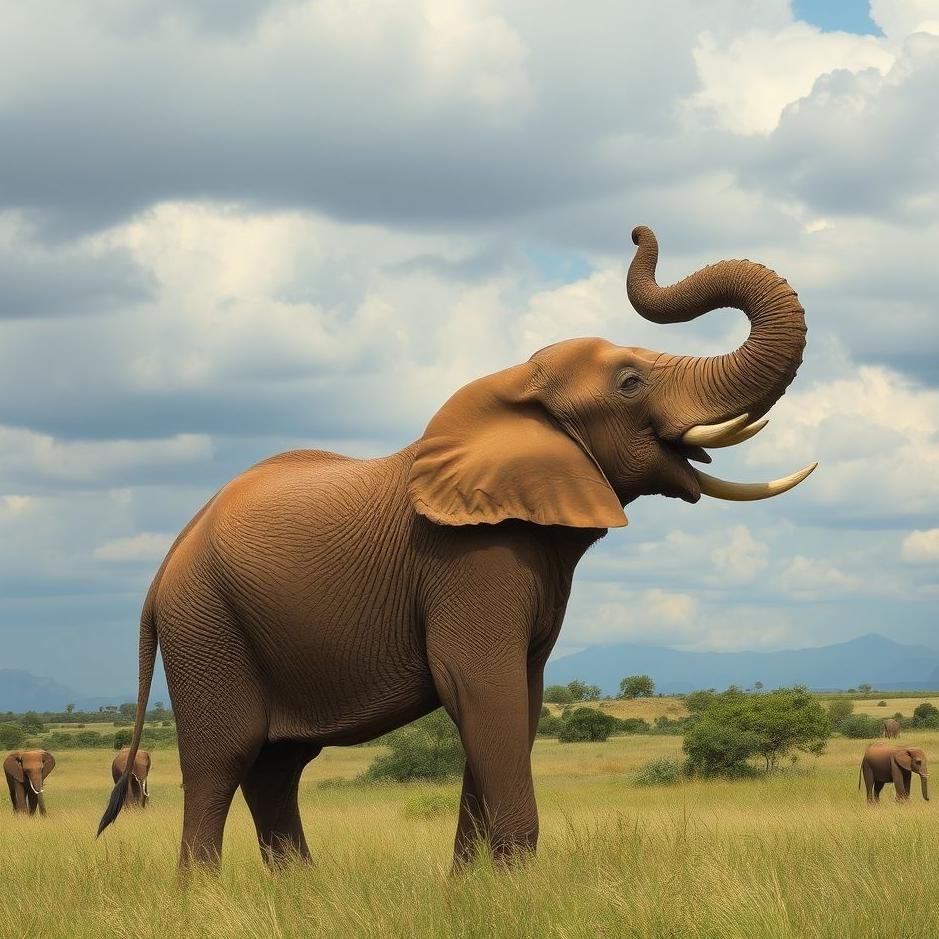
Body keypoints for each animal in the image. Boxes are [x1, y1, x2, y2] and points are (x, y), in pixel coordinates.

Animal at [98, 226, 816, 873]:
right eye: (631, 383)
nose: (638, 231)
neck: (514, 385)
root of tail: (166, 563)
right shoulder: (469, 559)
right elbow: (479, 684)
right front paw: (517, 890)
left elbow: (517, 699)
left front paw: (474, 890)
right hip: (207, 624)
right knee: (223, 759)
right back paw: (207, 897)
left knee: (276, 767)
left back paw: (302, 894)